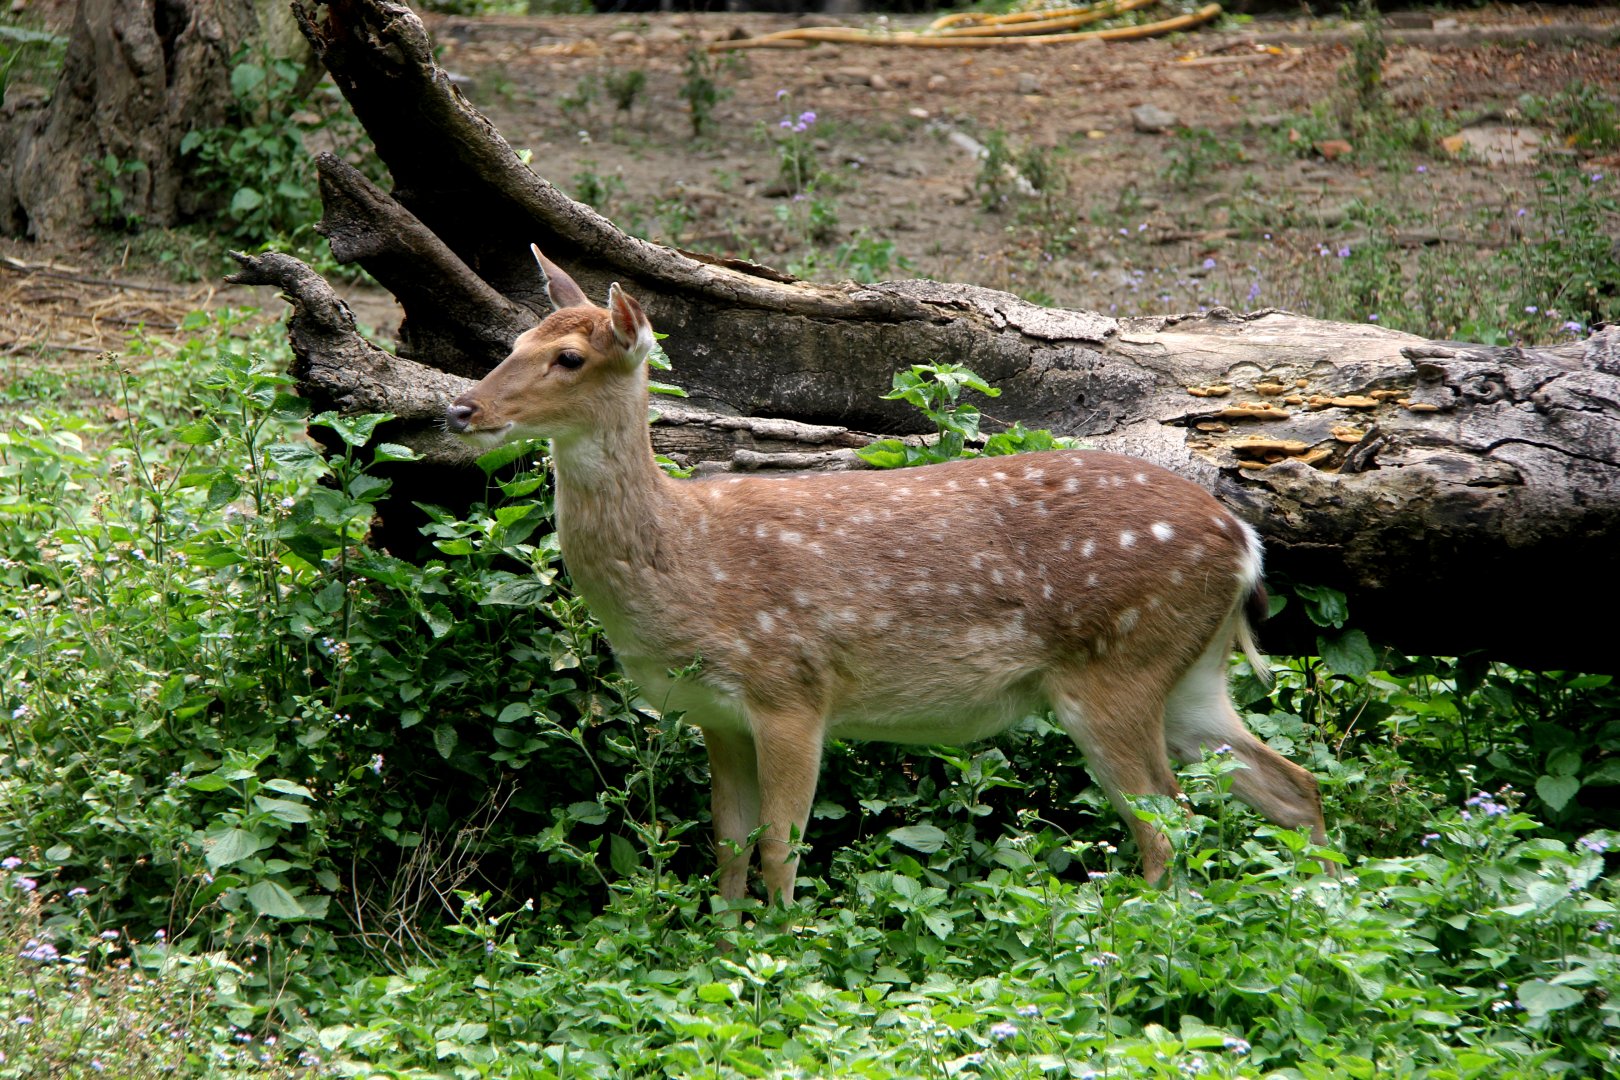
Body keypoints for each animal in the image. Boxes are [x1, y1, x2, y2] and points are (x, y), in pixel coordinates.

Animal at [444, 247, 1329, 903]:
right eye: (511, 345)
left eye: (568, 357)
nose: (462, 409)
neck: (686, 563)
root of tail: (1244, 539)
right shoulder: (716, 714)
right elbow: (728, 849)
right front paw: (724, 955)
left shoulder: (792, 687)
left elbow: (781, 848)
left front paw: (779, 959)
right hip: (1186, 673)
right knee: (1293, 782)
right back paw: (1326, 909)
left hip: (1115, 666)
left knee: (1168, 824)